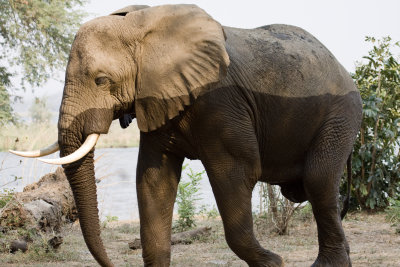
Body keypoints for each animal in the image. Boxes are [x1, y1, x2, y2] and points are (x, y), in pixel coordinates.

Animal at [11, 4, 362, 267]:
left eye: (101, 80)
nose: (111, 263)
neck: (142, 26)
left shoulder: (221, 102)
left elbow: (237, 173)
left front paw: (274, 263)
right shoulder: (157, 98)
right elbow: (153, 179)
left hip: (341, 115)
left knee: (318, 180)